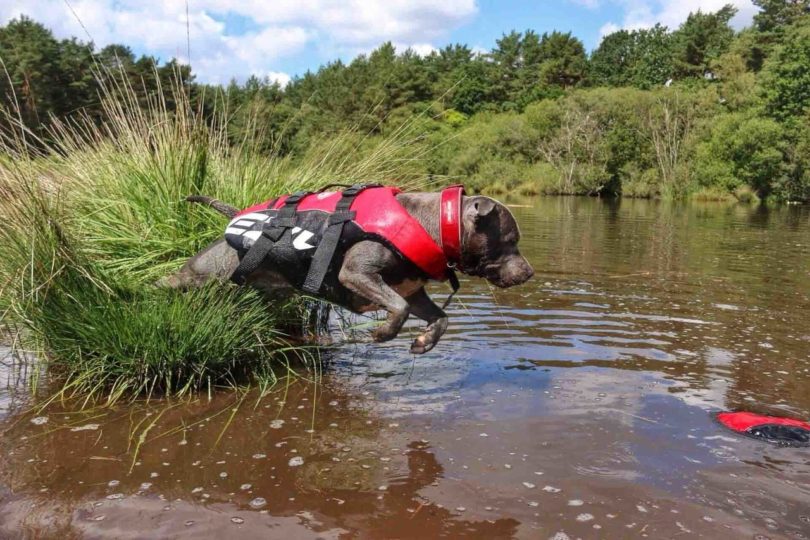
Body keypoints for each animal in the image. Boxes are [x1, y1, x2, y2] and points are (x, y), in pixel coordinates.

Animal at [161, 187, 532, 354]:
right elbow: (398, 307)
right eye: (511, 240)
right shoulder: (357, 274)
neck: (434, 226)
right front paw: (383, 333)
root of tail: (237, 215)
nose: (529, 272)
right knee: (172, 280)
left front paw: (424, 341)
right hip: (207, 271)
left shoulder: (413, 289)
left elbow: (440, 317)